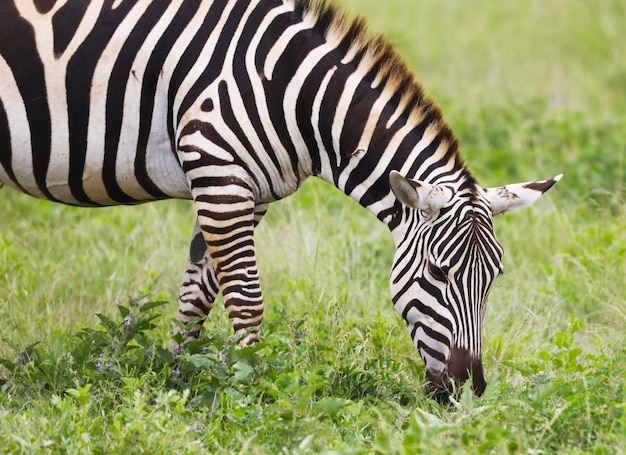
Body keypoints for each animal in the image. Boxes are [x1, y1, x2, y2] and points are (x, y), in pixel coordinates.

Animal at [0, 0, 560, 400]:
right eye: (438, 274)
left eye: (495, 278)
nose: (469, 391)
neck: (291, 94)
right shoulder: (218, 171)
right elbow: (247, 300)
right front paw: (254, 391)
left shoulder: (246, 192)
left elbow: (198, 294)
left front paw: (178, 379)